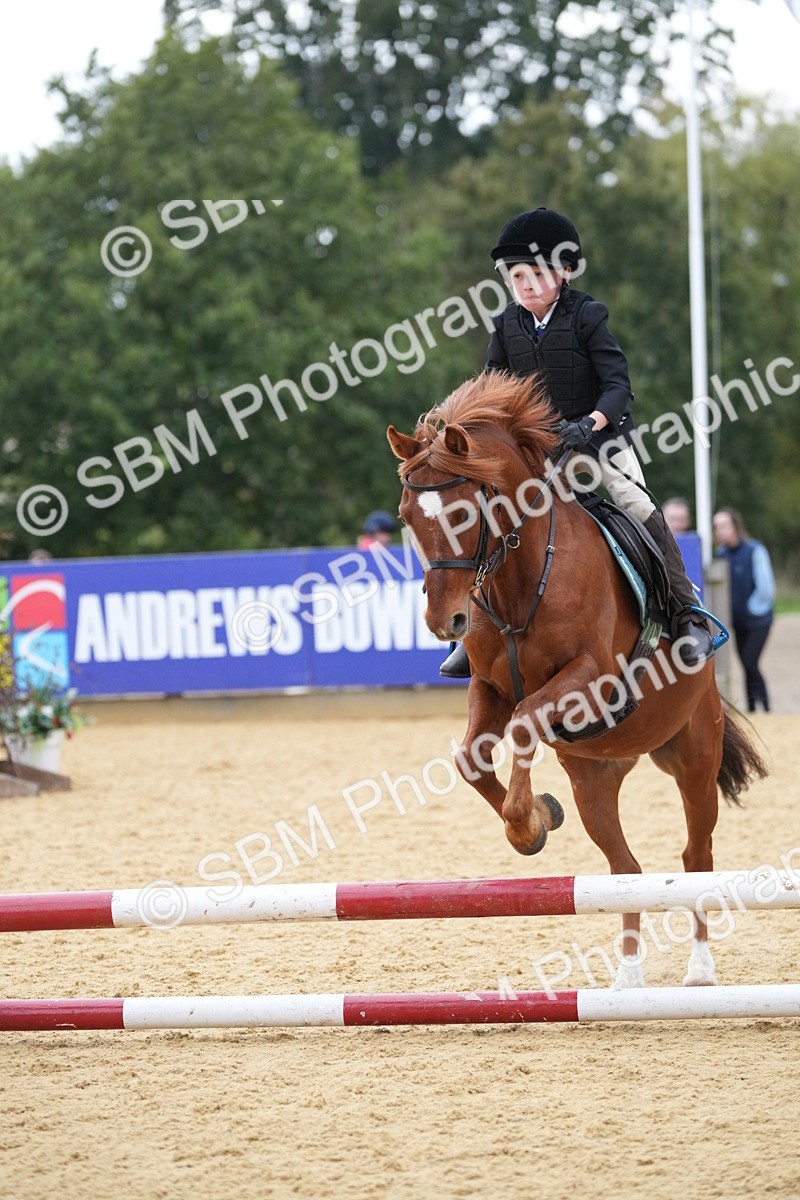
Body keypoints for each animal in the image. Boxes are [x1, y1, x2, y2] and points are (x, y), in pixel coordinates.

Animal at [387, 370, 768, 989]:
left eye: (463, 515)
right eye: (405, 518)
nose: (446, 622)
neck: (521, 577)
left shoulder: (591, 679)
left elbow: (523, 723)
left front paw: (526, 823)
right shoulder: (489, 687)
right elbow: (471, 756)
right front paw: (540, 818)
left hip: (694, 756)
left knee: (696, 857)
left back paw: (700, 970)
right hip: (595, 774)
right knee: (625, 869)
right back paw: (629, 979)